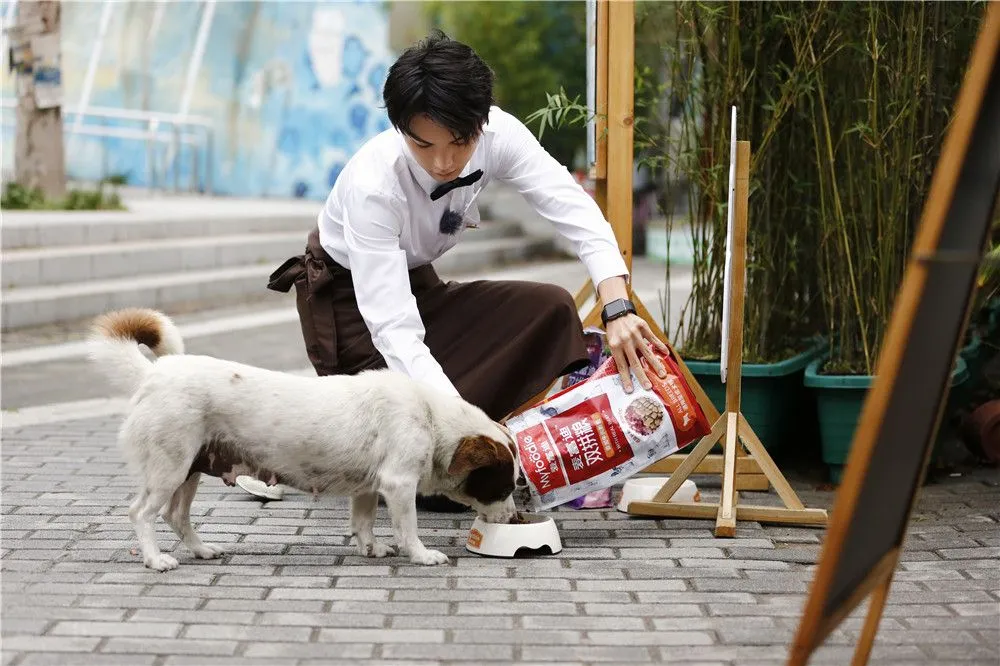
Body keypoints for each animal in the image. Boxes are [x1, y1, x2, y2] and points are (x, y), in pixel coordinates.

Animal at [89, 308, 520, 568]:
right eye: (503, 485)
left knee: (175, 516)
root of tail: (153, 374)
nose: (516, 519)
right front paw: (421, 554)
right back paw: (155, 559)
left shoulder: (368, 487)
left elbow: (363, 522)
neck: (430, 417)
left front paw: (371, 548)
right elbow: (408, 528)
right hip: (170, 467)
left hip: (190, 468)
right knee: (141, 513)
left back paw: (201, 550)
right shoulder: (399, 485)